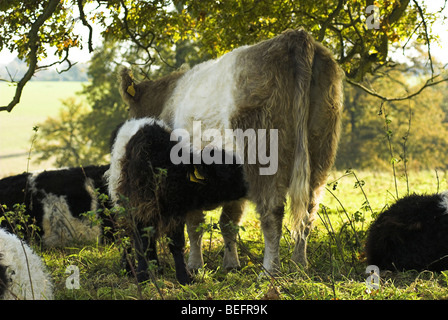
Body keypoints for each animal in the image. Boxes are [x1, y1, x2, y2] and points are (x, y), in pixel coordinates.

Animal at [107, 119, 247, 284]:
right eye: (225, 171)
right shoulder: (139, 207)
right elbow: (141, 244)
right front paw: (142, 276)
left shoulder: (176, 211)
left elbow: (176, 244)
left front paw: (184, 277)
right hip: (121, 204)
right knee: (125, 235)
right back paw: (128, 269)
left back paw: (157, 268)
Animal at [117, 29, 342, 272]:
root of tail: (293, 36)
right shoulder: (235, 181)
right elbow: (228, 222)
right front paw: (231, 264)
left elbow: (195, 224)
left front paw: (195, 265)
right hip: (320, 151)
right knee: (308, 211)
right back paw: (299, 264)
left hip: (264, 156)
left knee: (272, 210)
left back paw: (269, 270)